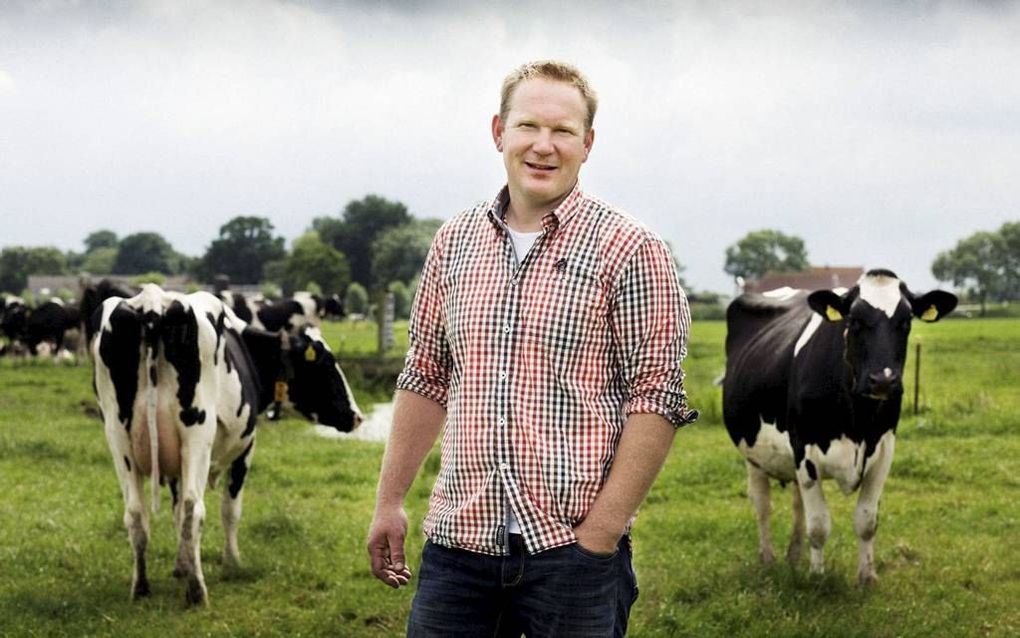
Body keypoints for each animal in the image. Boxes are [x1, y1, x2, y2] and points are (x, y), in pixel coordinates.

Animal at [90, 285, 363, 604]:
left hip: (119, 438)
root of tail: (153, 300)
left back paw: (142, 587)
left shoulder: (176, 465)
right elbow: (229, 510)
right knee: (193, 508)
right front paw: (232, 562)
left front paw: (181, 566)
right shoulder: (246, 447)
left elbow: (175, 513)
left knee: (137, 513)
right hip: (196, 433)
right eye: (328, 366)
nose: (356, 416)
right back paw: (197, 591)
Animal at [726, 269, 954, 583]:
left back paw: (793, 557)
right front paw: (817, 576)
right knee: (762, 504)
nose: (883, 381)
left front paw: (867, 577)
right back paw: (768, 559)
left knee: (796, 502)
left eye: (906, 321)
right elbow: (819, 524)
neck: (857, 420)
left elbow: (867, 521)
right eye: (854, 321)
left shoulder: (884, 449)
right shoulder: (804, 451)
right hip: (751, 452)